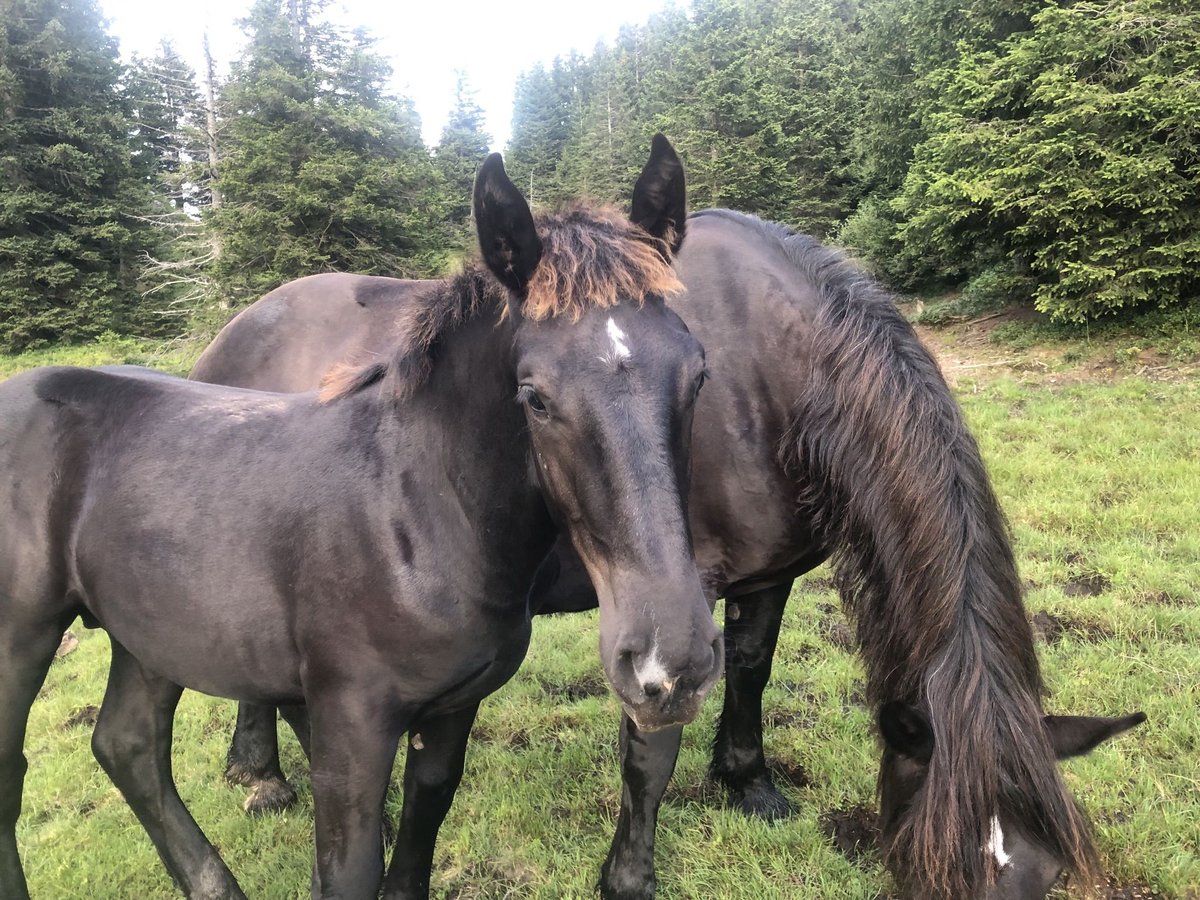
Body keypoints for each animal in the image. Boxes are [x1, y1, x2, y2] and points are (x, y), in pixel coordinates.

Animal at [0, 141, 720, 900]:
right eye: (536, 398)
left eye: (698, 375)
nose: (671, 666)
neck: (415, 514)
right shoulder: (350, 720)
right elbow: (350, 868)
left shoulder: (450, 710)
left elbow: (420, 831)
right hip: (21, 636)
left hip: (152, 633)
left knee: (128, 745)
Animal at [189, 210, 1142, 897]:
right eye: (937, 876)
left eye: (1044, 879)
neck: (776, 372)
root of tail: (237, 326)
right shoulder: (677, 599)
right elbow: (651, 750)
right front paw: (628, 875)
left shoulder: (766, 575)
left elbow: (751, 668)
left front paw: (749, 783)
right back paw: (265, 776)